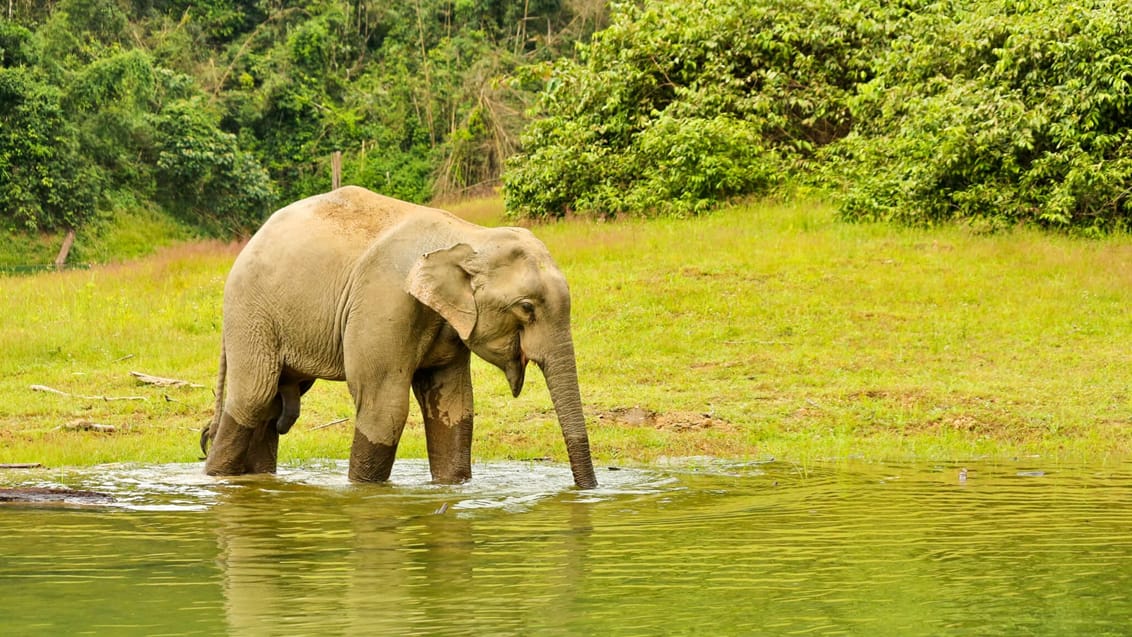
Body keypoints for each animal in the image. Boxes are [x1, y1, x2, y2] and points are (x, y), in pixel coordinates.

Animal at [200, 186, 602, 491]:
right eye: (526, 308)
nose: (587, 490)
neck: (468, 236)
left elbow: (453, 407)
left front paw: (451, 487)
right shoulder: (385, 302)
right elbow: (384, 407)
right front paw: (366, 491)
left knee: (272, 406)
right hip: (251, 313)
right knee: (255, 396)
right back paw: (217, 480)